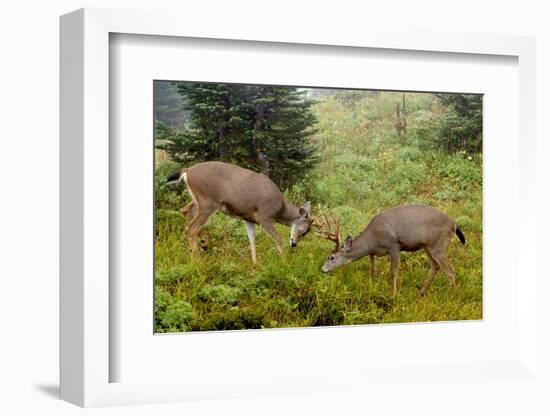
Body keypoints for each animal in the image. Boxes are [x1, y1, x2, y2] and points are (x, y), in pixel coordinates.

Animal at [166, 161, 314, 262]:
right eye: (303, 230)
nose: (294, 244)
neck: (280, 208)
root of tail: (187, 171)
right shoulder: (264, 216)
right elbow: (278, 238)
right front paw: (285, 261)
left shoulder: (248, 218)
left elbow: (252, 240)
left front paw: (255, 263)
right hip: (208, 201)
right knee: (191, 227)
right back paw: (198, 260)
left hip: (200, 200)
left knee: (185, 210)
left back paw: (203, 243)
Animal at [316, 204, 468, 296]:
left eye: (331, 257)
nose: (322, 270)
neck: (372, 240)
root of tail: (454, 224)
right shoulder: (373, 252)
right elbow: (372, 268)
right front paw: (373, 283)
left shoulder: (394, 245)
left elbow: (393, 271)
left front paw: (393, 294)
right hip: (428, 246)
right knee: (436, 266)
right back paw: (421, 292)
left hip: (439, 246)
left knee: (450, 271)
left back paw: (450, 295)